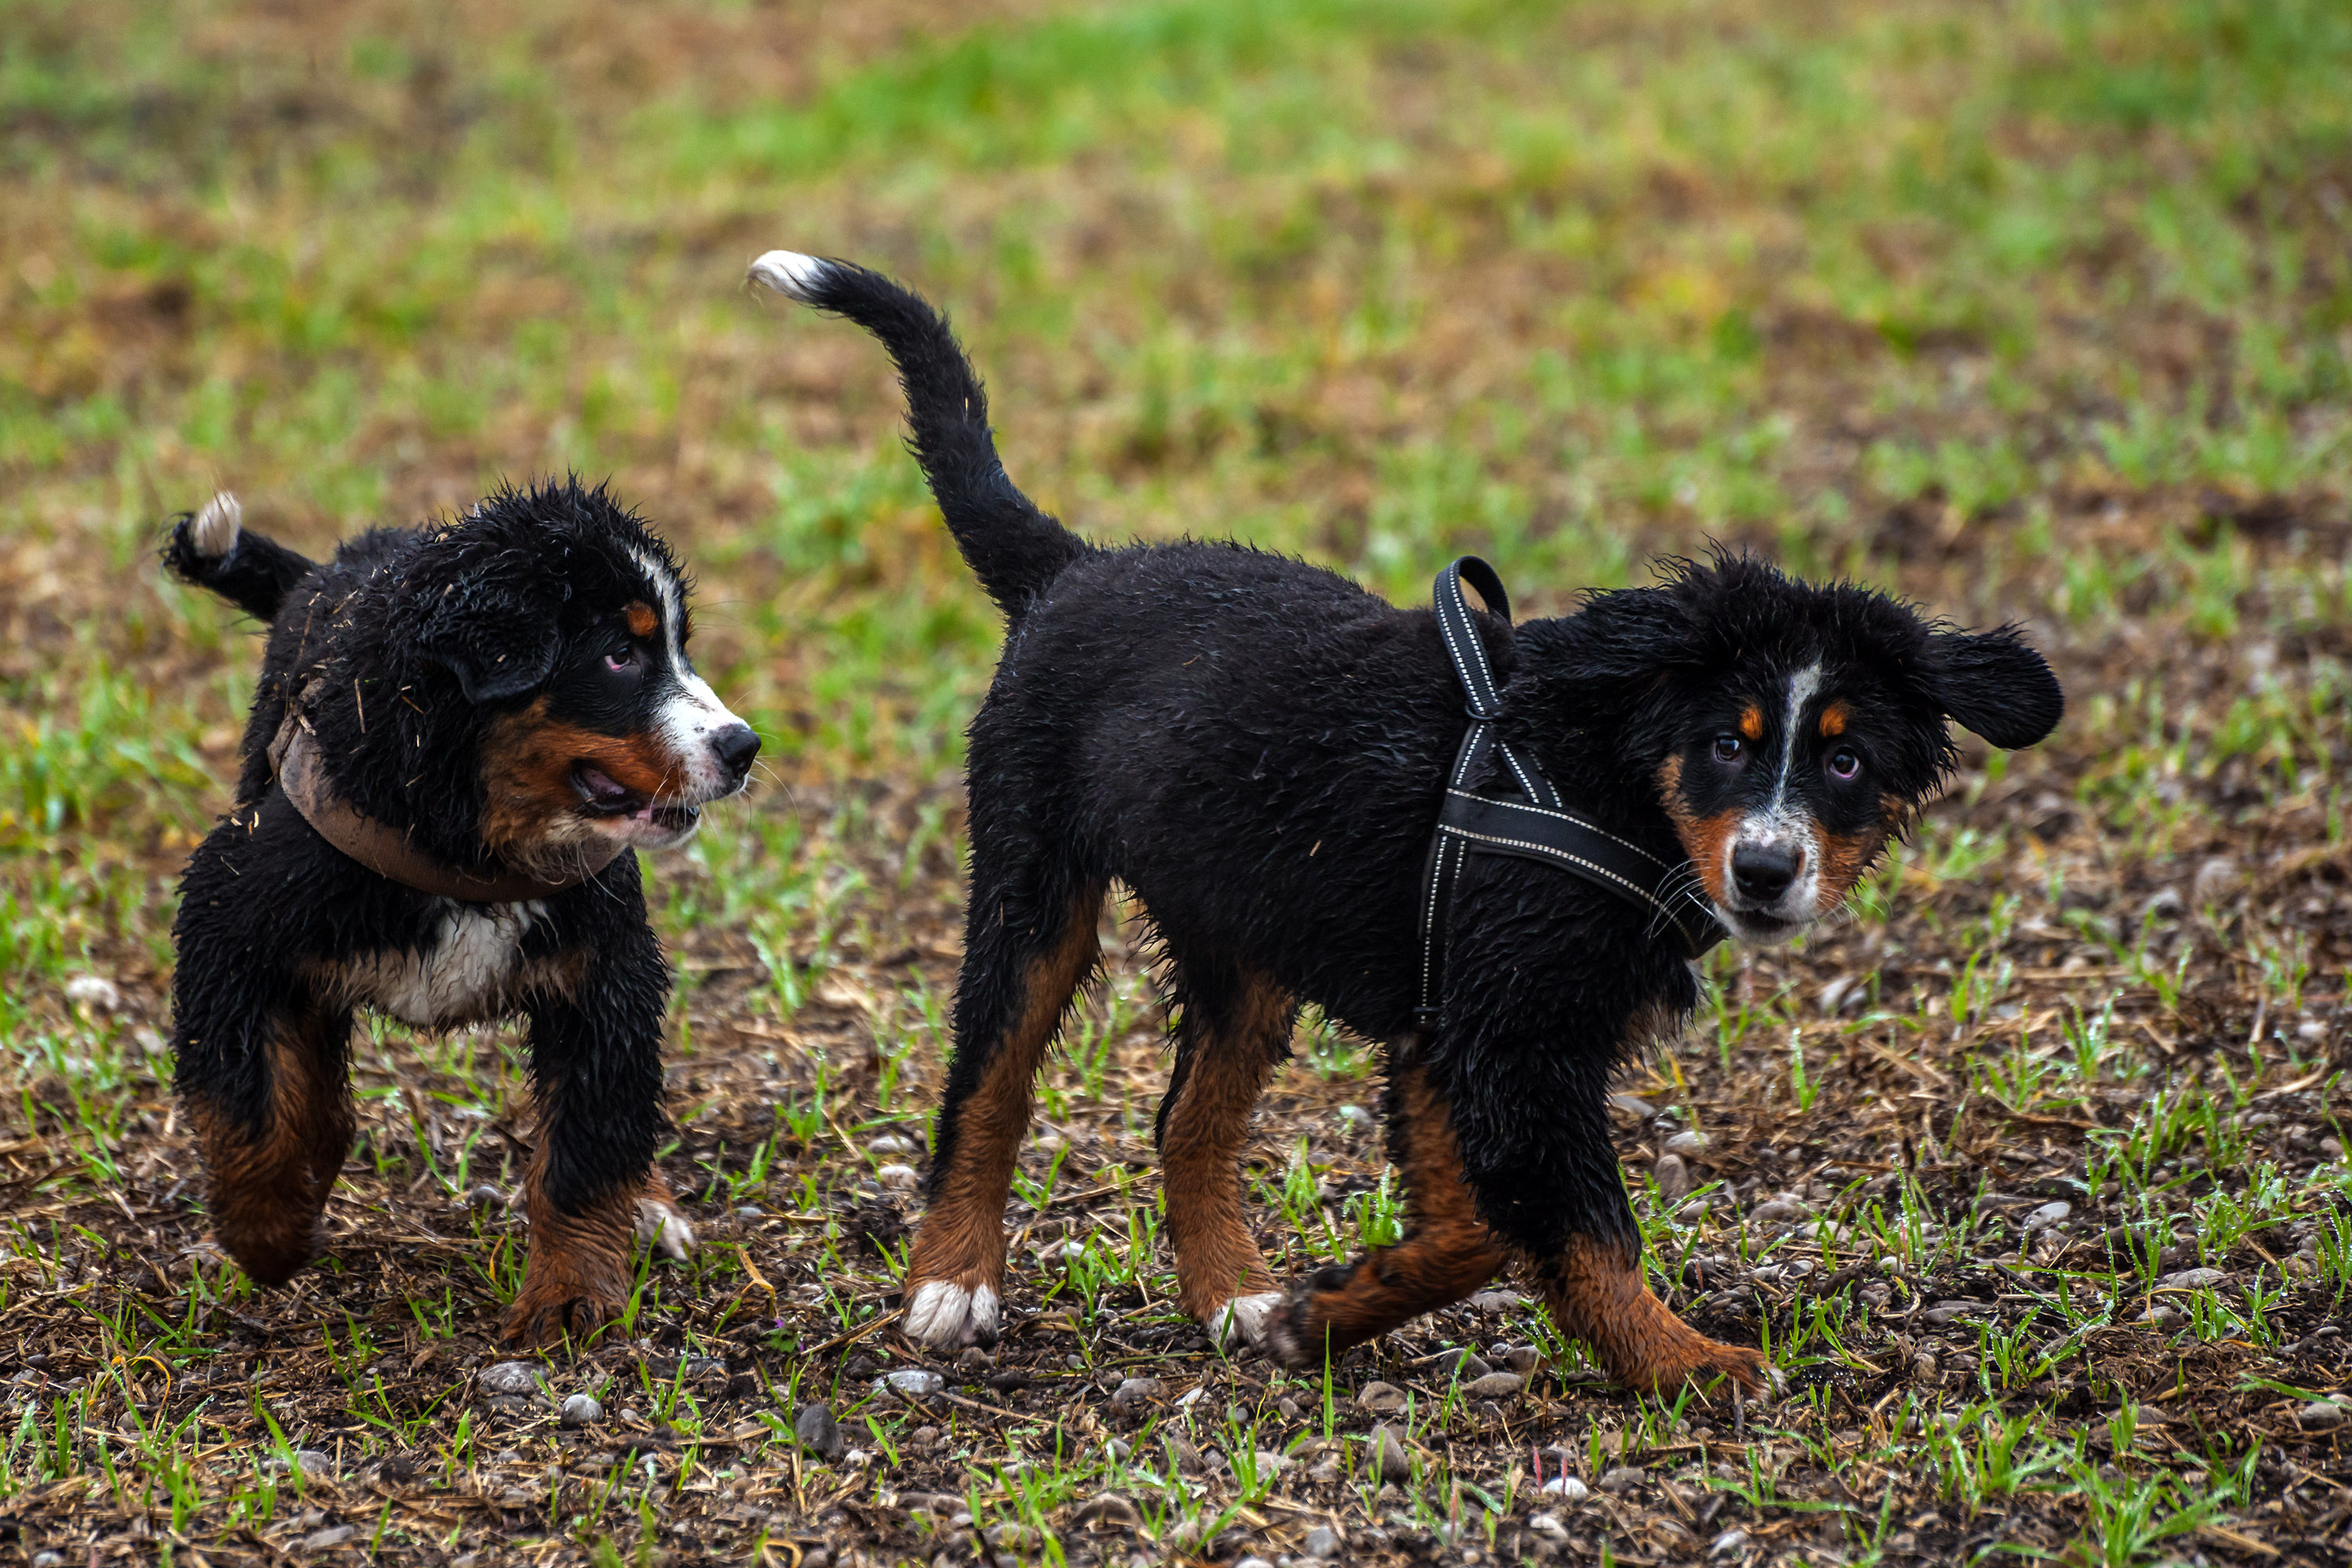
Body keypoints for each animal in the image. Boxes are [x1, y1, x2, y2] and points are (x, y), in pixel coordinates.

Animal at [162, 479, 759, 1343]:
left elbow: (585, 1148)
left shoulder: (606, 974)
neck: (475, 849)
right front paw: (268, 1232)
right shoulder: (231, 918)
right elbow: (249, 1109)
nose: (744, 747)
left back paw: (648, 1206)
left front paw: (570, 1292)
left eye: (679, 648)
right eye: (620, 653)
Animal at [749, 251, 2064, 1391]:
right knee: (990, 1080)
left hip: (1244, 933)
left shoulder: (1458, 1026)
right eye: (1727, 745)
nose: (1768, 870)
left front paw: (1321, 1312)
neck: (1602, 777)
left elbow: (1477, 1225)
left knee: (1187, 1120)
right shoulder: (1510, 1037)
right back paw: (953, 1282)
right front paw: (1686, 1364)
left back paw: (1233, 1295)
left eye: (1844, 761)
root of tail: (1073, 566)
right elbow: (1570, 1228)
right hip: (1034, 880)